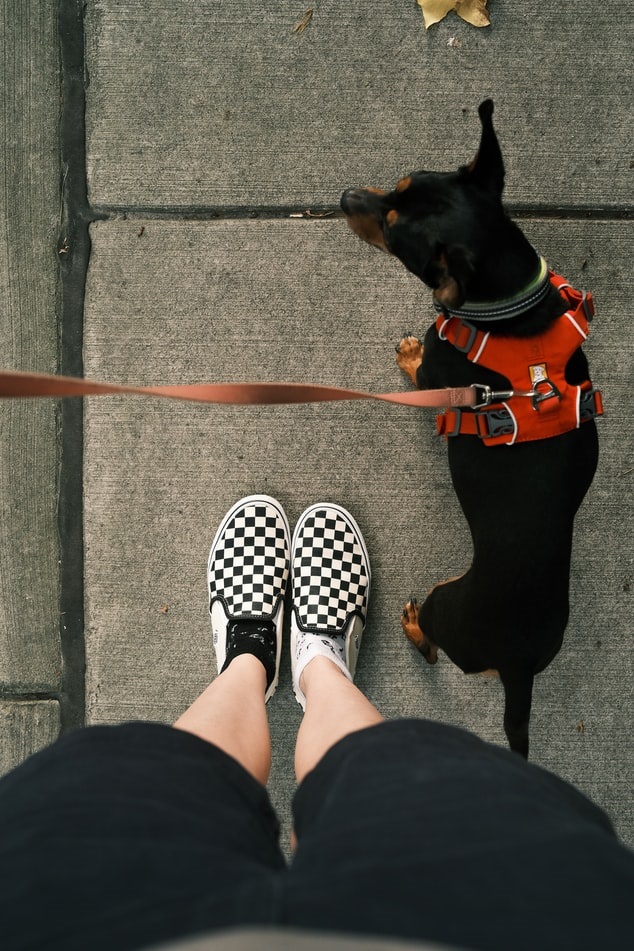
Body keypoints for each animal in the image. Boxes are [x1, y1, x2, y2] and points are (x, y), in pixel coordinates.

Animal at [338, 102, 600, 760]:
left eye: (393, 233)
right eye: (400, 183)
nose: (346, 195)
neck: (511, 311)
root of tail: (518, 671)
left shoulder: (438, 371)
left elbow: (418, 369)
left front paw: (408, 353)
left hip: (444, 603)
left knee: (432, 645)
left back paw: (410, 626)